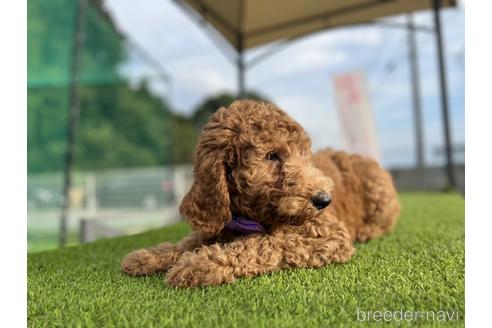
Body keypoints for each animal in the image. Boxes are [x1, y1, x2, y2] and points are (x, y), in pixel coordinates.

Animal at [122, 99, 400, 288]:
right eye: (271, 156)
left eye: (303, 155)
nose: (324, 200)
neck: (249, 216)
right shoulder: (217, 222)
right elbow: (188, 241)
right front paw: (149, 256)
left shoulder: (328, 233)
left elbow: (264, 244)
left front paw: (200, 263)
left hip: (379, 192)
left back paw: (367, 230)